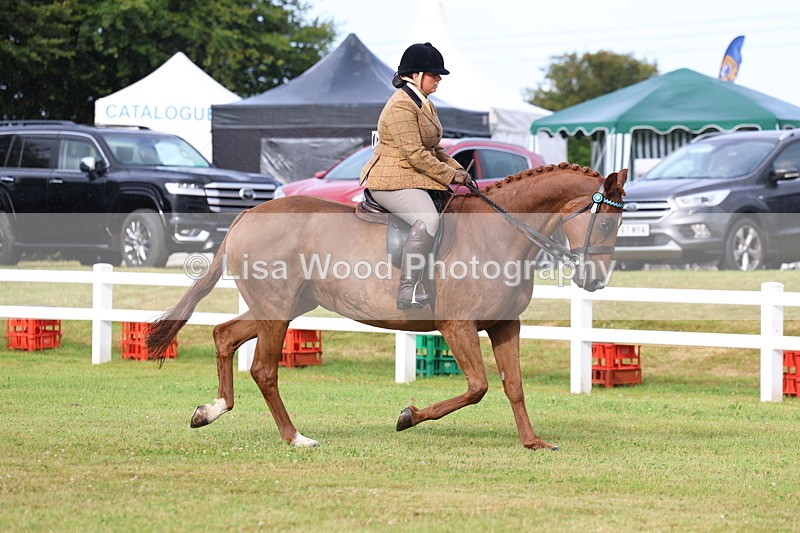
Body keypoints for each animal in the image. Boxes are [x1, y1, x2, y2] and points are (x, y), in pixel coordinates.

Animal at [147, 163, 628, 451]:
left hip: (282, 307)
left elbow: (515, 386)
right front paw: (408, 416)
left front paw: (532, 442)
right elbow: (478, 388)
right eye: (606, 222)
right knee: (264, 369)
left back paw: (210, 411)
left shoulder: (505, 324)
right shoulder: (457, 326)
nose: (595, 281)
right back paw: (295, 437)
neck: (499, 233)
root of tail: (248, 215)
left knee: (224, 334)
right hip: (278, 310)